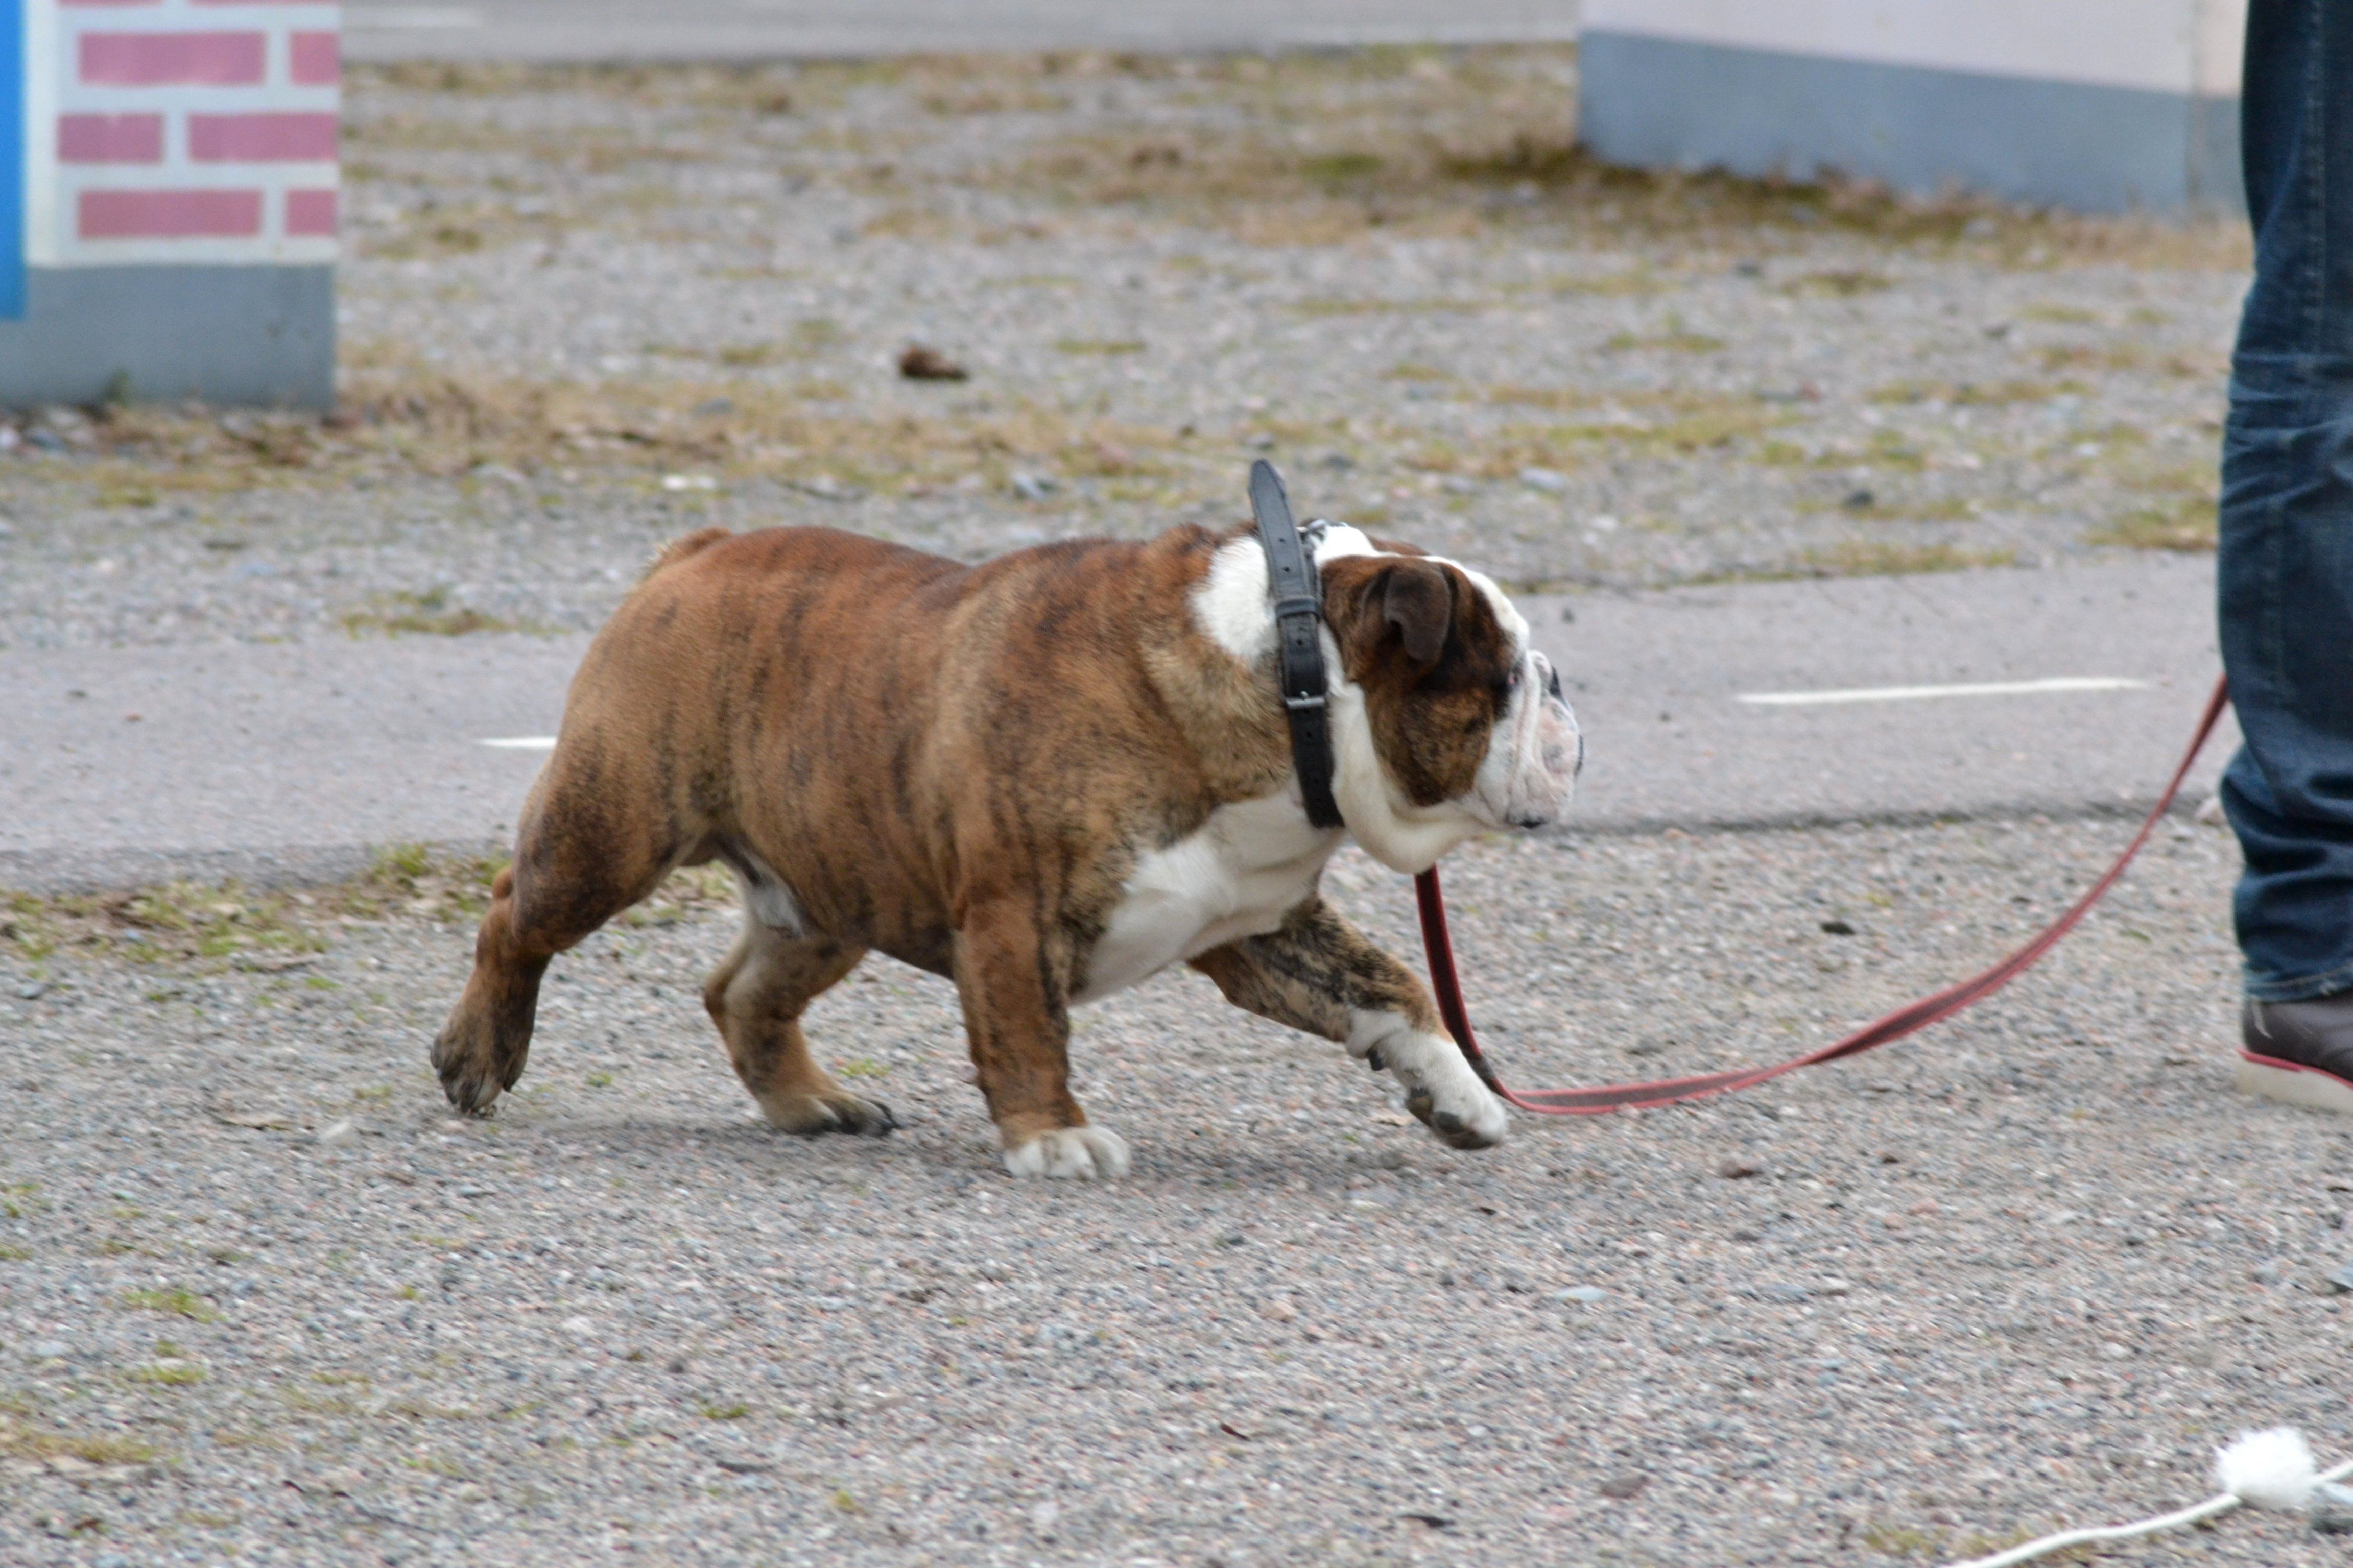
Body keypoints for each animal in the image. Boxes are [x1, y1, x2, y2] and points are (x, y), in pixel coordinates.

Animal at [433, 519, 1580, 1177]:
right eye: (1504, 678)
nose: (1563, 684)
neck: (1286, 673)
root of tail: (699, 550)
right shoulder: (1013, 912)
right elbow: (1029, 1029)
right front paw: (1053, 1136)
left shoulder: (1257, 927)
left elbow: (1391, 986)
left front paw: (1458, 1094)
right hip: (612, 832)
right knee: (511, 916)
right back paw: (479, 1052)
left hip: (832, 888)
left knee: (743, 993)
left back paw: (812, 1101)